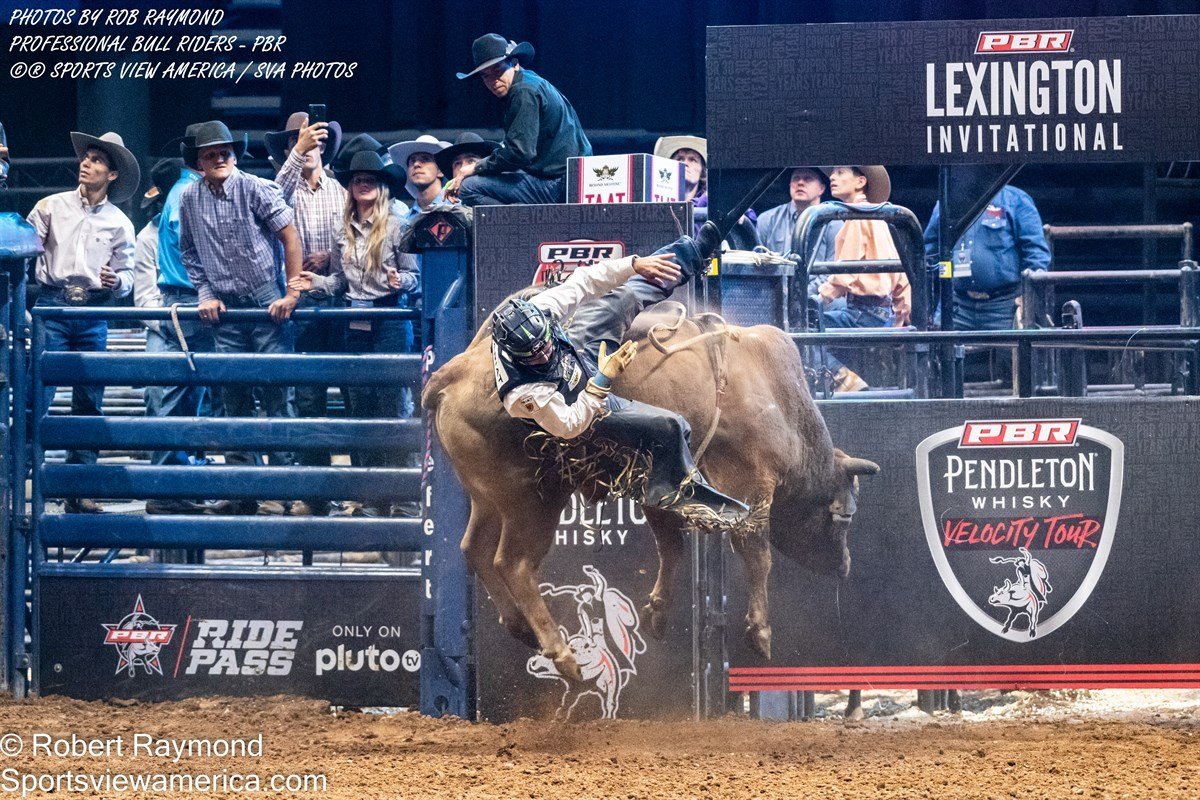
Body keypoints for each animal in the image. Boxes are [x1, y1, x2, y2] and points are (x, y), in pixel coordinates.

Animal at [422, 299, 880, 683]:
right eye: (845, 516)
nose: (844, 566)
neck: (780, 403)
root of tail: (452, 374)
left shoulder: (661, 488)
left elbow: (670, 545)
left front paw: (657, 613)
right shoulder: (751, 484)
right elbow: (757, 555)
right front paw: (760, 631)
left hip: (487, 498)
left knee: (473, 548)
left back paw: (521, 628)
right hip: (534, 500)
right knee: (512, 563)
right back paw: (561, 653)